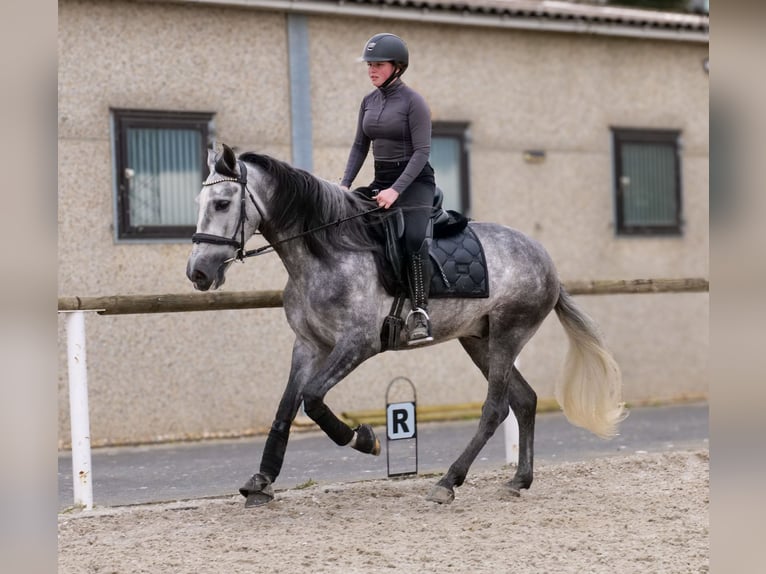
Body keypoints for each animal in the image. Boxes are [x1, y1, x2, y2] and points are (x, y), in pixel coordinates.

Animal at [186, 144, 626, 508]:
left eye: (222, 203)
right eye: (201, 202)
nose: (198, 273)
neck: (325, 252)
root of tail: (546, 260)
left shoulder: (357, 344)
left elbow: (312, 398)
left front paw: (364, 439)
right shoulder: (308, 345)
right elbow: (286, 408)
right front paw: (261, 481)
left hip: (508, 334)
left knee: (496, 407)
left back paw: (448, 482)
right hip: (478, 340)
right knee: (525, 400)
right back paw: (519, 480)